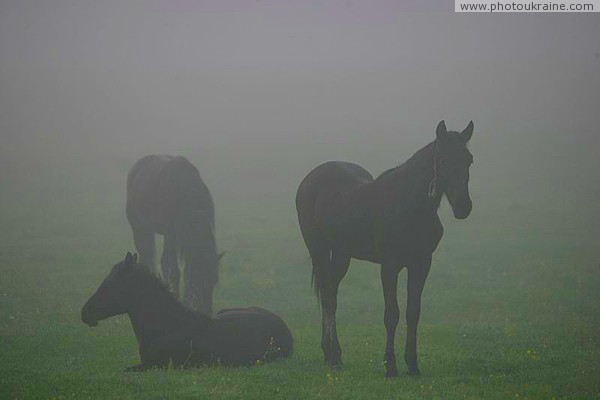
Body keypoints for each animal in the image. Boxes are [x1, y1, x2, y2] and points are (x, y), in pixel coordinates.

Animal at [125, 155, 221, 314]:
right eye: (198, 278)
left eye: (214, 281)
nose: (207, 313)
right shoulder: (171, 234)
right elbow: (171, 268)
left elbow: (178, 268)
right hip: (140, 228)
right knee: (147, 257)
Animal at [296, 120, 474, 376]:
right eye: (442, 158)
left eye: (469, 159)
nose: (463, 206)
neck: (410, 206)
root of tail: (308, 181)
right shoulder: (389, 266)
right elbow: (392, 314)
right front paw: (390, 366)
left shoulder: (421, 264)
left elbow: (413, 312)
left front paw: (412, 364)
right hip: (318, 249)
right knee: (328, 298)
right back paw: (333, 357)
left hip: (341, 254)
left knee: (330, 292)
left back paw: (331, 354)